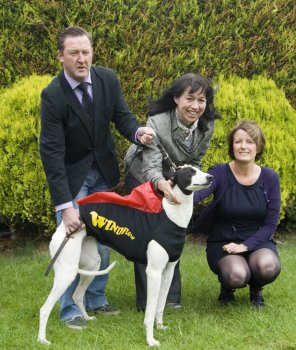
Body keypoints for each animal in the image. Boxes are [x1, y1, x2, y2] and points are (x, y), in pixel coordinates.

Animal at [37, 165, 213, 346]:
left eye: (199, 169)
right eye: (189, 172)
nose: (210, 177)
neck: (172, 217)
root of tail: (64, 225)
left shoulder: (168, 270)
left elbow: (161, 304)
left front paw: (160, 327)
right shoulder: (154, 272)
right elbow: (150, 311)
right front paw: (151, 340)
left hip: (93, 265)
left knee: (77, 295)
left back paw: (87, 318)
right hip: (67, 271)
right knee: (45, 309)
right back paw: (42, 339)